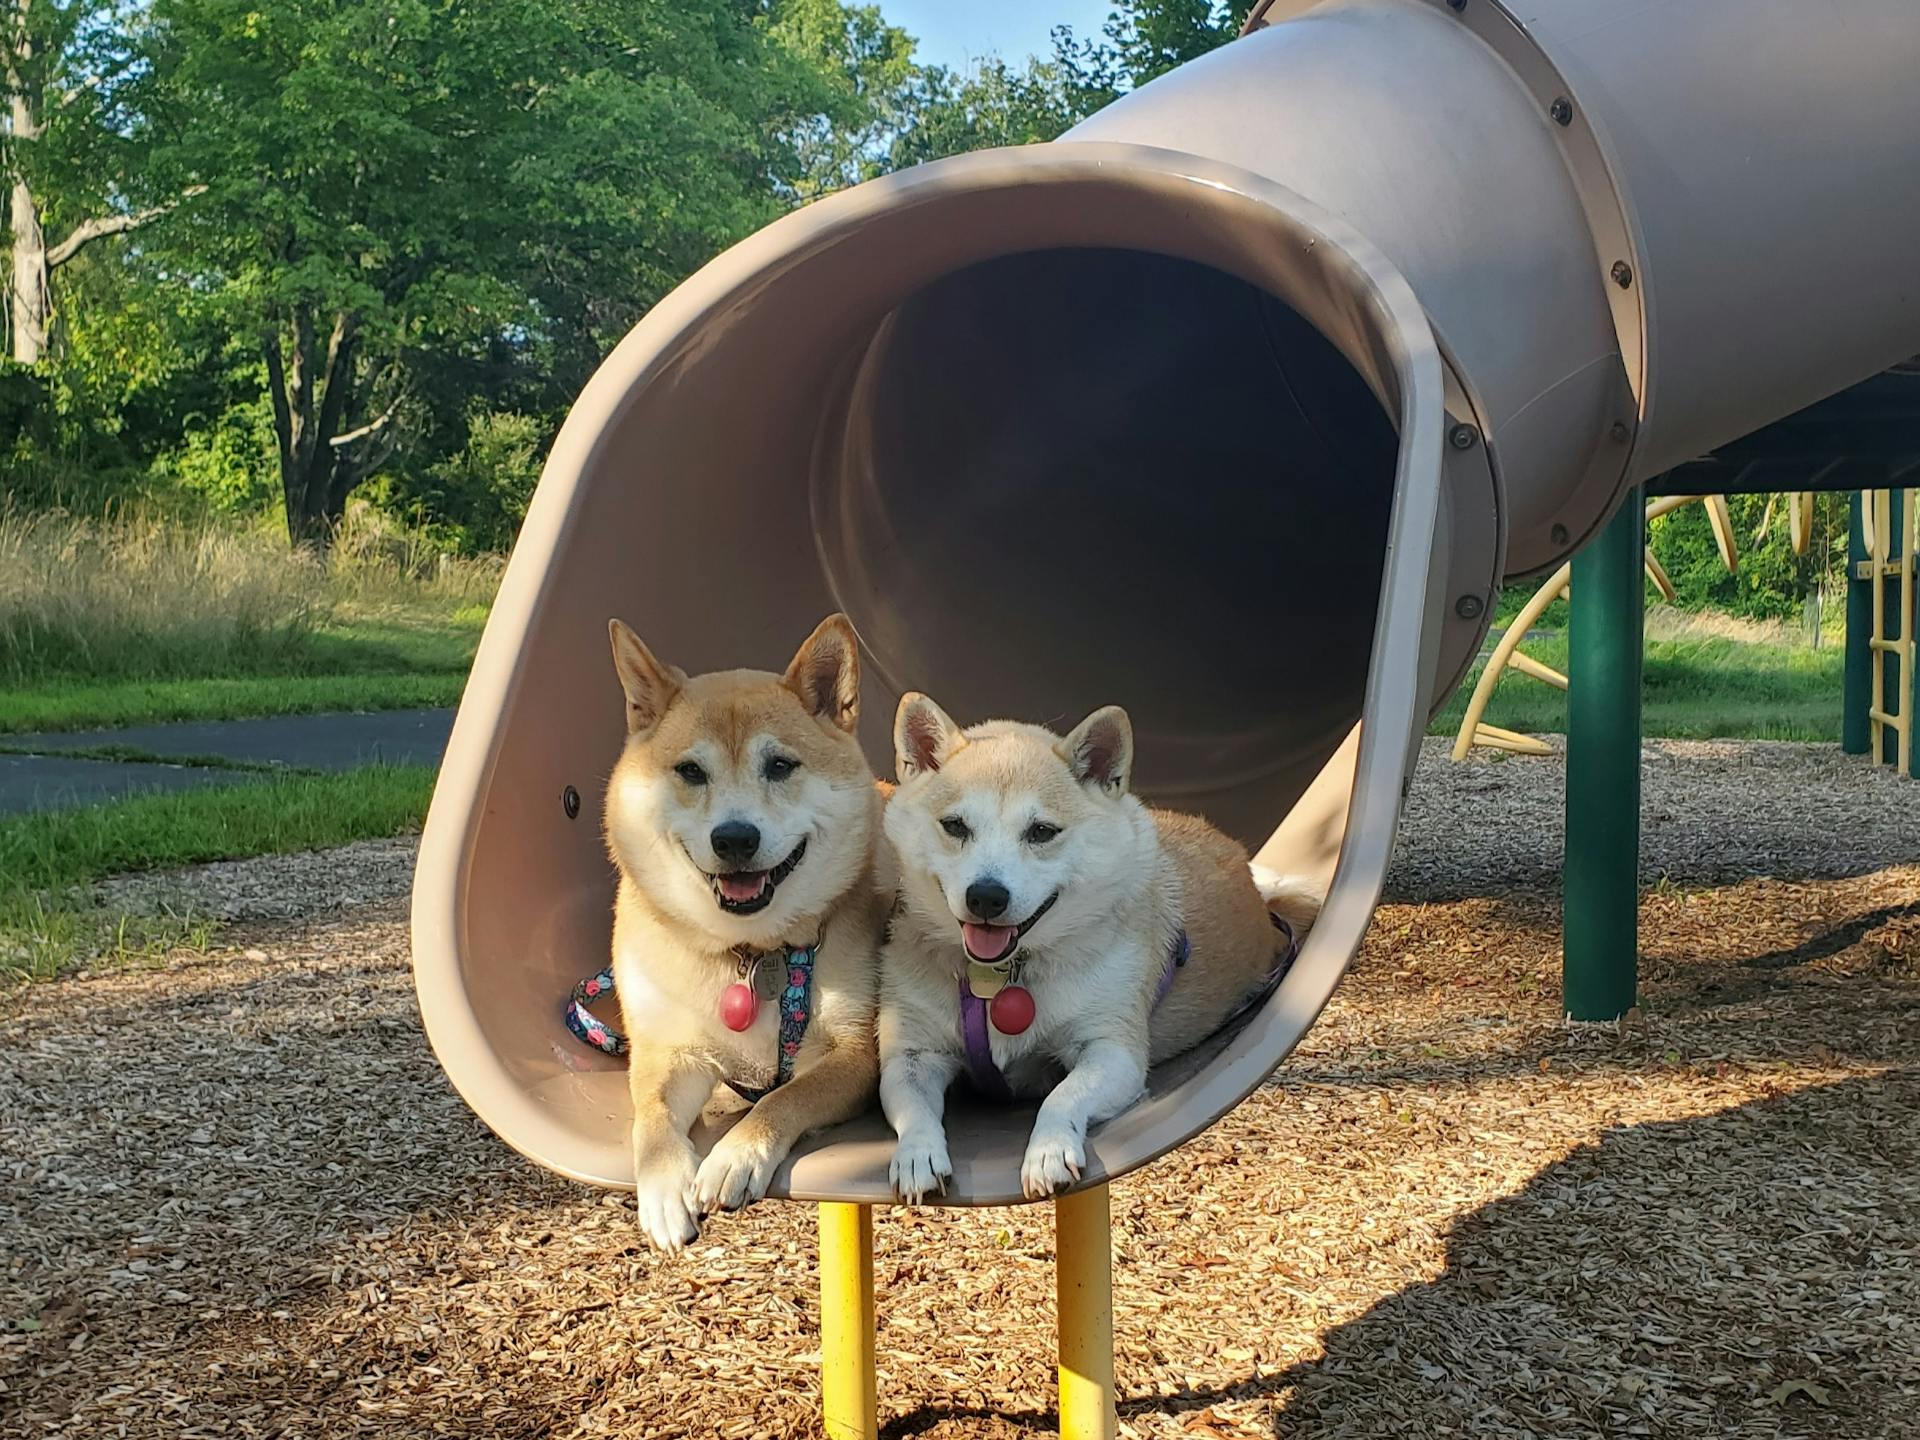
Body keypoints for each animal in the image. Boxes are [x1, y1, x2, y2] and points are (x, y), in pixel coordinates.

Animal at [602, 618, 887, 1251]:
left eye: (779, 766)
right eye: (690, 771)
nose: (734, 837)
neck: (754, 952)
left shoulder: (857, 1053)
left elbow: (784, 1097)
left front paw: (735, 1155)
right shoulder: (668, 1049)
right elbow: (650, 1117)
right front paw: (663, 1186)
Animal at [879, 698, 1320, 1205]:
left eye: (1042, 832)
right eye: (954, 826)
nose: (986, 896)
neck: (1002, 976)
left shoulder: (1113, 1051)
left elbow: (1061, 1097)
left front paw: (1048, 1151)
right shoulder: (911, 1056)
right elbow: (914, 1112)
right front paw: (918, 1154)